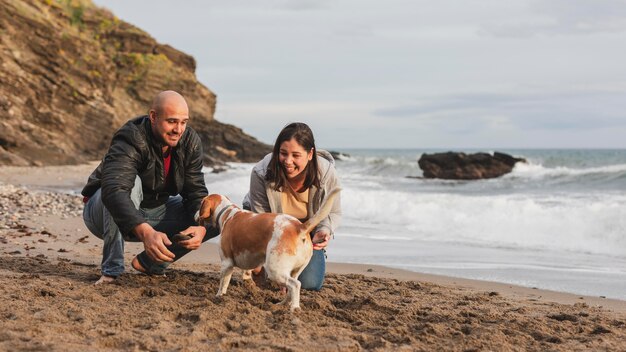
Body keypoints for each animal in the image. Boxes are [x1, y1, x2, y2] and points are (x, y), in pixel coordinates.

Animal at [196, 188, 338, 310]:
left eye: (200, 204)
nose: (195, 214)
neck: (227, 213)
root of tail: (299, 227)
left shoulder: (226, 263)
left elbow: (223, 284)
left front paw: (219, 296)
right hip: (295, 271)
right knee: (292, 287)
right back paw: (283, 304)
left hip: (275, 270)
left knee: (295, 285)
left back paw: (294, 308)